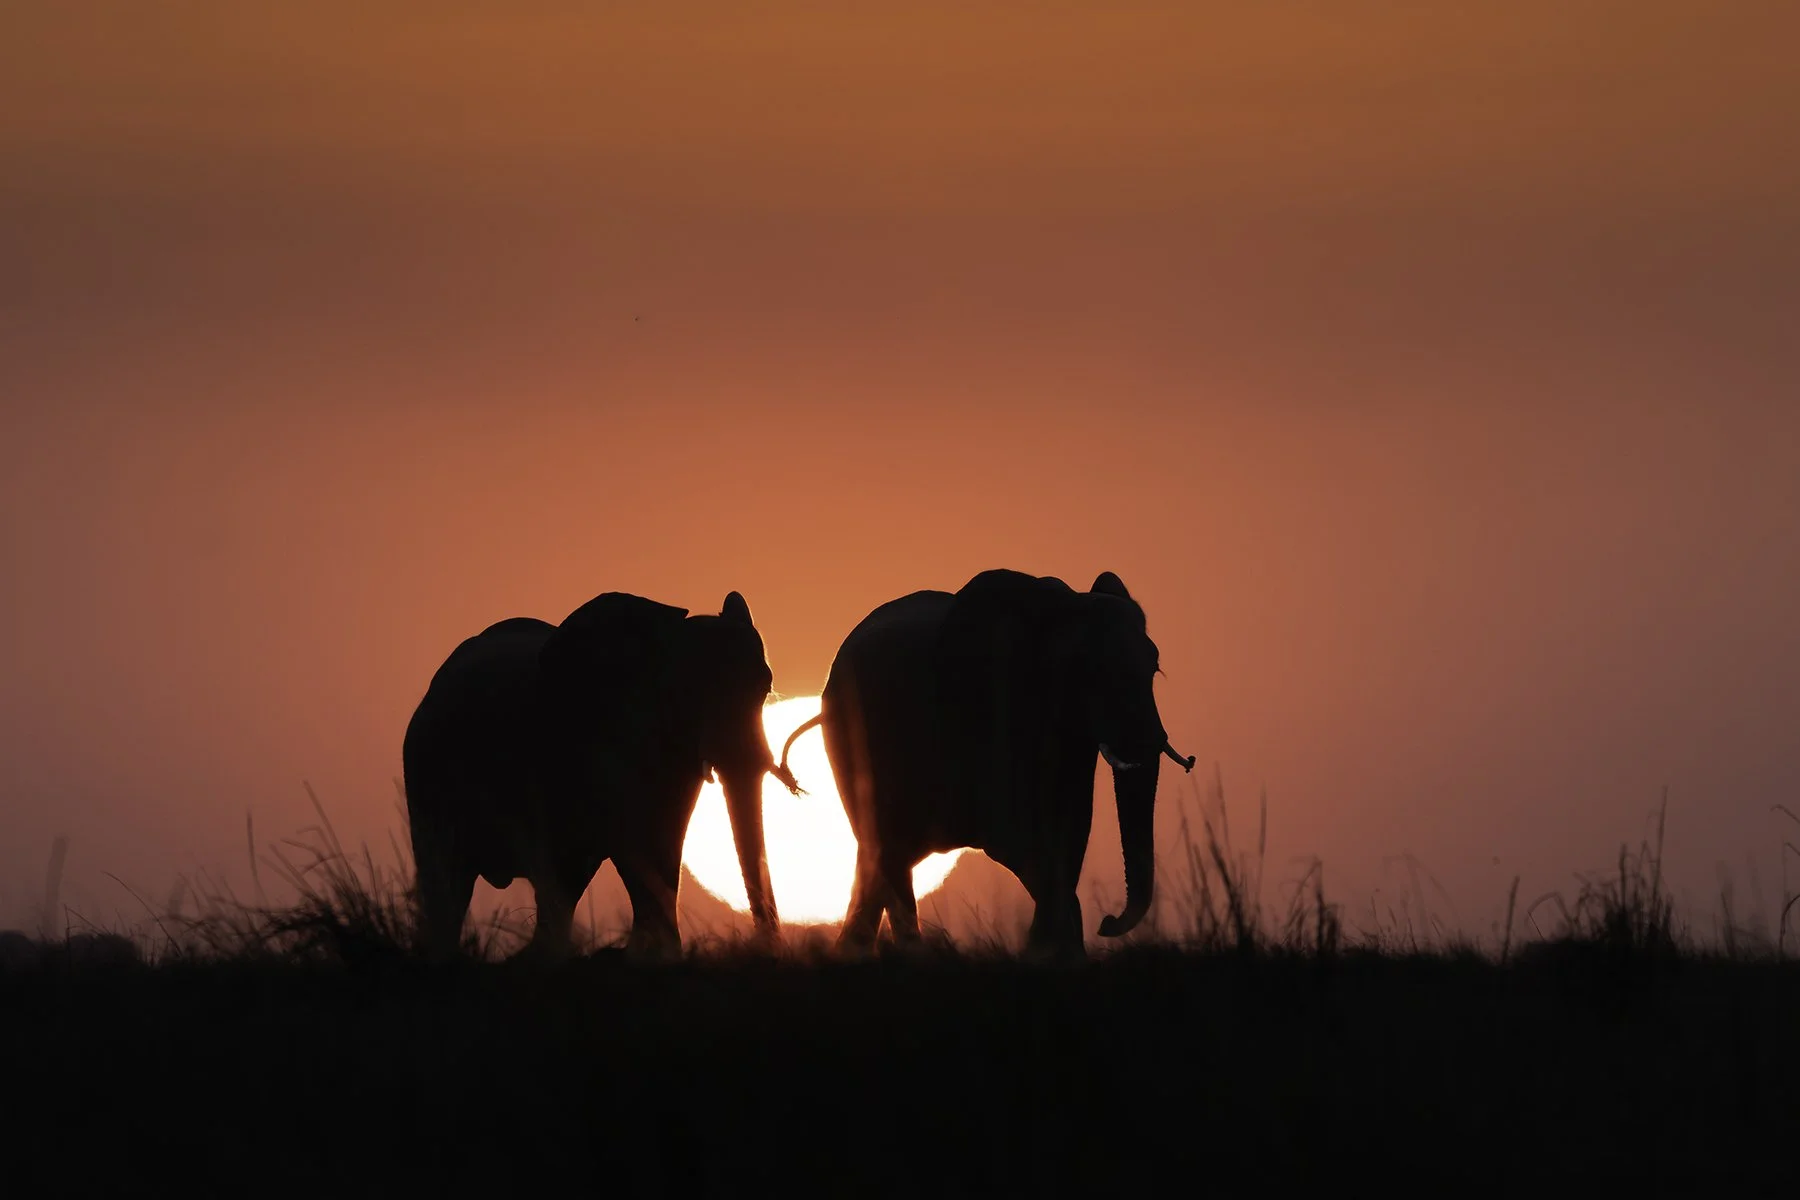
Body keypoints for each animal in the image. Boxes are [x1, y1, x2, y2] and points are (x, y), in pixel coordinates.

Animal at [401, 589, 800, 962]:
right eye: (690, 692)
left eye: (765, 688)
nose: (766, 949)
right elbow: (631, 842)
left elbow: (666, 841)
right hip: (425, 772)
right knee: (450, 880)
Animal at [780, 569, 1195, 961]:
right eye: (1086, 673)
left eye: (1155, 670)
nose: (1107, 923)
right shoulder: (984, 710)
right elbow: (1013, 837)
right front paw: (1045, 950)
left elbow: (1071, 830)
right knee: (887, 849)